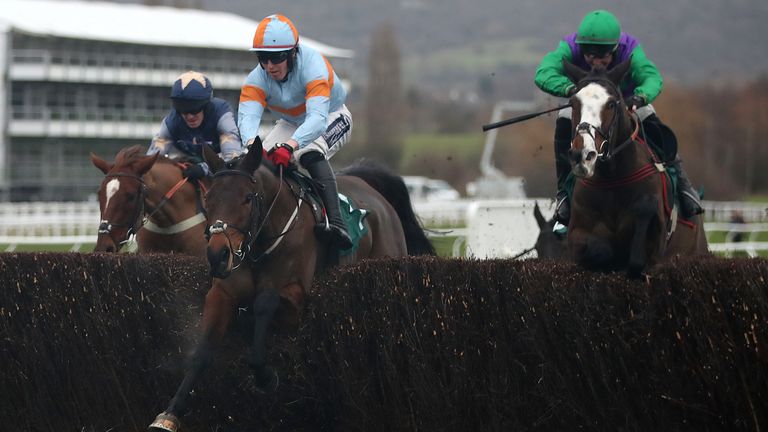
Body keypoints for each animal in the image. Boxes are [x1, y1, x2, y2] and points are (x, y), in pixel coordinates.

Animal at [148, 143, 436, 432]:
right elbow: (203, 352)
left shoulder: (296, 298)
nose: (218, 255)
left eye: (248, 197)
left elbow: (264, 303)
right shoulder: (222, 293)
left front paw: (265, 377)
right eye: (209, 198)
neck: (261, 241)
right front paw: (169, 413)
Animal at [560, 60, 708, 276]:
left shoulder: (656, 236)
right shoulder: (577, 234)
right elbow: (599, 249)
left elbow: (640, 252)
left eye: (611, 104)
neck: (612, 178)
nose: (583, 155)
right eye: (573, 103)